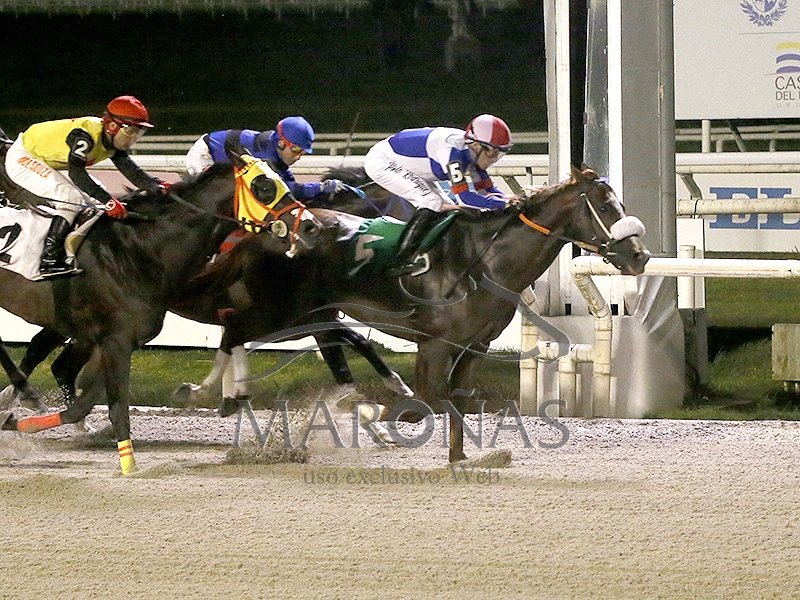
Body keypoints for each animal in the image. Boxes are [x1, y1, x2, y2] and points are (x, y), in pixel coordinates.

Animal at [0, 158, 321, 473]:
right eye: (263, 187)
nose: (312, 226)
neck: (140, 248)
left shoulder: (121, 341)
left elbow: (86, 404)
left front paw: (16, 422)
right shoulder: (115, 340)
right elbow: (116, 406)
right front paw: (129, 465)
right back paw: (21, 392)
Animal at [181, 166, 650, 462]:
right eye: (605, 207)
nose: (640, 255)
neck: (486, 262)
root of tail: (267, 229)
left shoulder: (475, 346)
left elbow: (458, 399)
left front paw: (459, 457)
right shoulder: (435, 345)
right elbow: (426, 403)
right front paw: (379, 415)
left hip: (309, 313)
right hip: (283, 312)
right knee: (235, 328)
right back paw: (213, 392)